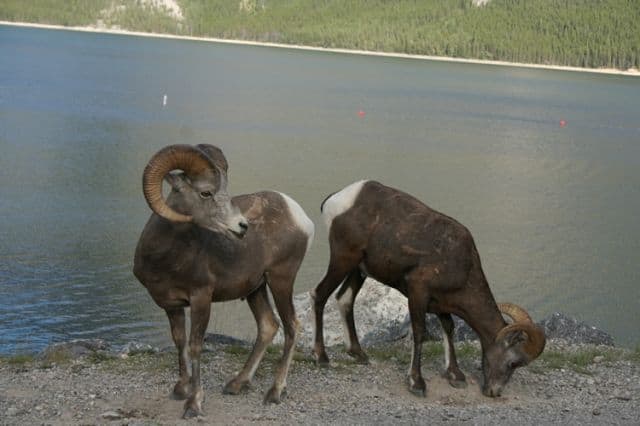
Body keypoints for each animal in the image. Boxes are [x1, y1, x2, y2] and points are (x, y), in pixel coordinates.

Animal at [134, 145, 314, 418]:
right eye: (206, 193)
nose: (242, 226)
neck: (166, 257)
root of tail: (299, 216)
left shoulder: (201, 298)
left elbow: (195, 346)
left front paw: (194, 403)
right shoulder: (171, 305)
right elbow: (179, 341)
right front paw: (180, 389)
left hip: (281, 280)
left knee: (292, 325)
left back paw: (274, 392)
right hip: (256, 289)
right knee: (268, 326)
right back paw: (237, 384)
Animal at [310, 179, 544, 396]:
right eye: (514, 362)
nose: (494, 392)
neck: (461, 264)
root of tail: (335, 200)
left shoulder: (441, 303)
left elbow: (448, 328)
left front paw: (455, 376)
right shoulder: (418, 292)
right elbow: (419, 333)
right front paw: (417, 383)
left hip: (358, 269)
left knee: (344, 298)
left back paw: (358, 354)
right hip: (343, 259)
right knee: (319, 294)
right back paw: (321, 357)